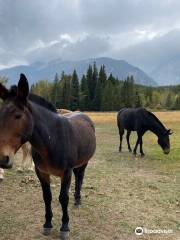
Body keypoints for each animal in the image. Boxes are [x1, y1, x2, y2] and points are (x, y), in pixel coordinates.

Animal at [0, 74, 96, 239]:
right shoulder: (42, 172)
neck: (52, 140)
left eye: (18, 116)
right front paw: (47, 224)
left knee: (80, 178)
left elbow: (63, 198)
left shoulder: (66, 173)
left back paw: (77, 200)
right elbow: (47, 197)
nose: (2, 158)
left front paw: (65, 227)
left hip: (83, 163)